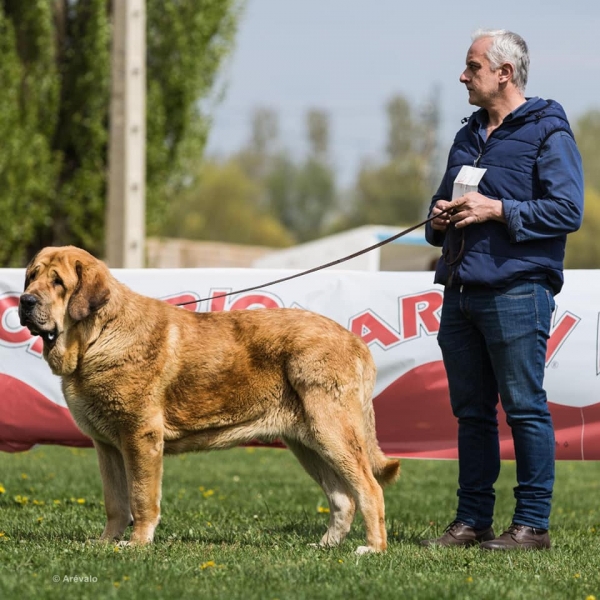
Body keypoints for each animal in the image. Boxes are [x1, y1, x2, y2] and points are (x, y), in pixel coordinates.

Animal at [17, 245, 398, 552]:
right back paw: (325, 546)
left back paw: (372, 549)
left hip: (332, 431)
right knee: (342, 498)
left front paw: (137, 543)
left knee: (369, 489)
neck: (97, 335)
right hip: (308, 444)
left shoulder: (140, 436)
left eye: (58, 282)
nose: (25, 301)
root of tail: (356, 340)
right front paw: (106, 542)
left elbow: (141, 497)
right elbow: (115, 501)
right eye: (31, 278)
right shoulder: (107, 446)